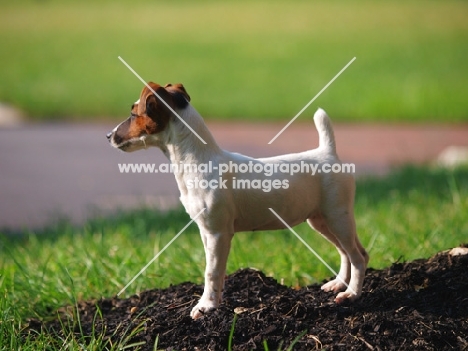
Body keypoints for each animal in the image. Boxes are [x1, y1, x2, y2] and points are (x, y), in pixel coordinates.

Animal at [107, 82, 370, 320]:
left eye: (133, 113)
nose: (109, 135)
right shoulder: (206, 232)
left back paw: (352, 294)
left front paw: (205, 307)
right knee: (347, 252)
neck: (197, 160)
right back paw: (338, 284)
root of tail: (328, 152)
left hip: (337, 217)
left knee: (358, 256)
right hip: (321, 221)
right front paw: (215, 300)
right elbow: (215, 270)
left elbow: (211, 272)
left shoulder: (218, 233)